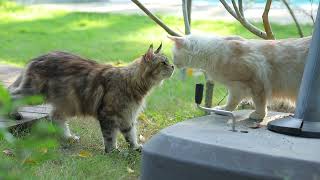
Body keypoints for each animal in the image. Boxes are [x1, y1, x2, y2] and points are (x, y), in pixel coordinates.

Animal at [169, 34, 312, 120]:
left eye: (174, 55)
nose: (173, 64)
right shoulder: (236, 88)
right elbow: (231, 103)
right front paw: (223, 110)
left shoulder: (255, 82)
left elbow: (259, 103)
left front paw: (258, 115)